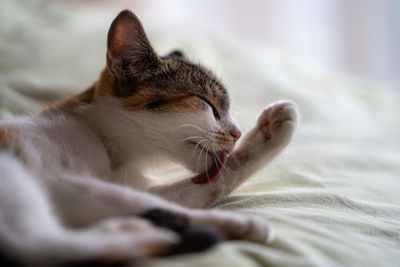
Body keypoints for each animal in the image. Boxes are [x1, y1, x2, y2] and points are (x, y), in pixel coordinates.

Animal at [0, 9, 296, 266]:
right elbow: (136, 200)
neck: (112, 152)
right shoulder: (52, 174)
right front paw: (239, 223)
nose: (237, 132)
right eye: (209, 105)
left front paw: (272, 131)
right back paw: (149, 235)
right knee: (39, 246)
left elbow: (206, 187)